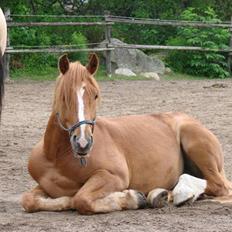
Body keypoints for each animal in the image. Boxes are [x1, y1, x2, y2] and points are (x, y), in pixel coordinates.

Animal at [21, 54, 232, 214]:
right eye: (64, 96)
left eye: (95, 95)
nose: (83, 143)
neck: (57, 157)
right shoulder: (45, 186)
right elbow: (29, 200)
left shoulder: (115, 176)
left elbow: (81, 199)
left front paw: (131, 198)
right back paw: (162, 195)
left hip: (195, 144)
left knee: (218, 185)